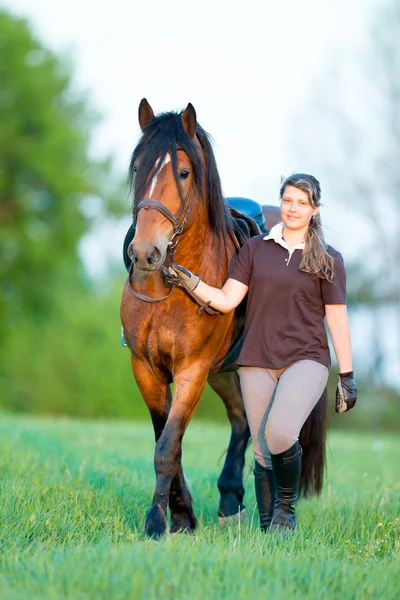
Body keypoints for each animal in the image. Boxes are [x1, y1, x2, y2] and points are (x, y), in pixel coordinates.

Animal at [119, 98, 324, 540]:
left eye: (184, 172)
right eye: (138, 168)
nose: (145, 252)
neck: (166, 291)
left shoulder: (192, 370)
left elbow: (168, 446)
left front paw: (157, 521)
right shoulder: (145, 368)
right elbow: (167, 440)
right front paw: (182, 515)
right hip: (226, 372)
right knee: (242, 420)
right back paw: (231, 499)